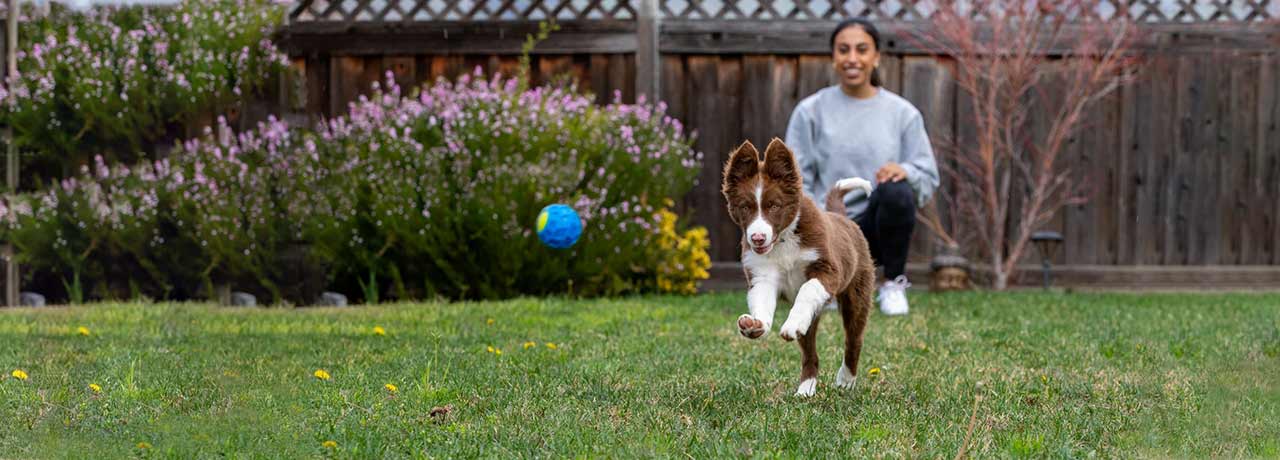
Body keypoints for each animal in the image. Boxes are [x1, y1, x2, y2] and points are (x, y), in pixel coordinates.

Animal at [721, 139, 880, 397]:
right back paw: (806, 389)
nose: (757, 238)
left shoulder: (827, 270)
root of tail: (840, 216)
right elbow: (762, 301)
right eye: (745, 207)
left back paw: (846, 379)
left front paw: (792, 323)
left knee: (854, 339)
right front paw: (756, 325)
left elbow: (807, 290)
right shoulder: (762, 275)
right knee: (810, 353)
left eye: (774, 206)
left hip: (857, 293)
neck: (783, 240)